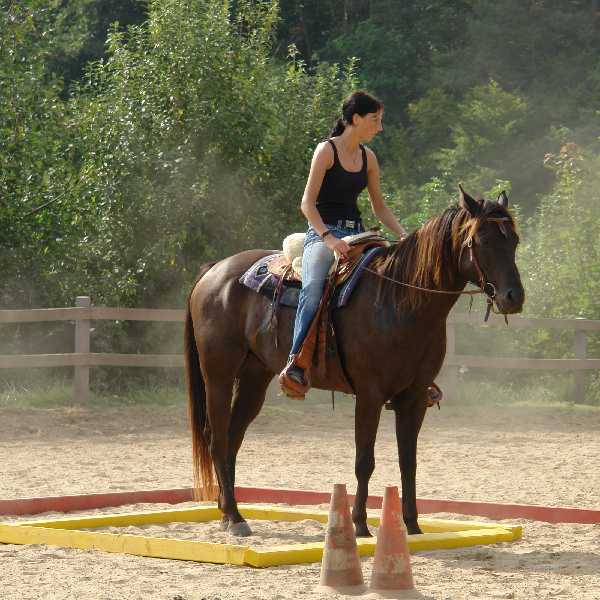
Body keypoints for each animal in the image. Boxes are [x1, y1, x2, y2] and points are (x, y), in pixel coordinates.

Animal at [184, 185, 524, 537]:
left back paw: (227, 512)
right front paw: (360, 524)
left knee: (233, 437)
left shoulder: (414, 397)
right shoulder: (369, 394)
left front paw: (412, 526)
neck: (399, 301)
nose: (514, 297)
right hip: (218, 374)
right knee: (217, 437)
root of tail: (215, 271)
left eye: (513, 240)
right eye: (482, 240)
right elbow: (365, 461)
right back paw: (235, 517)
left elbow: (408, 461)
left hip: (255, 376)